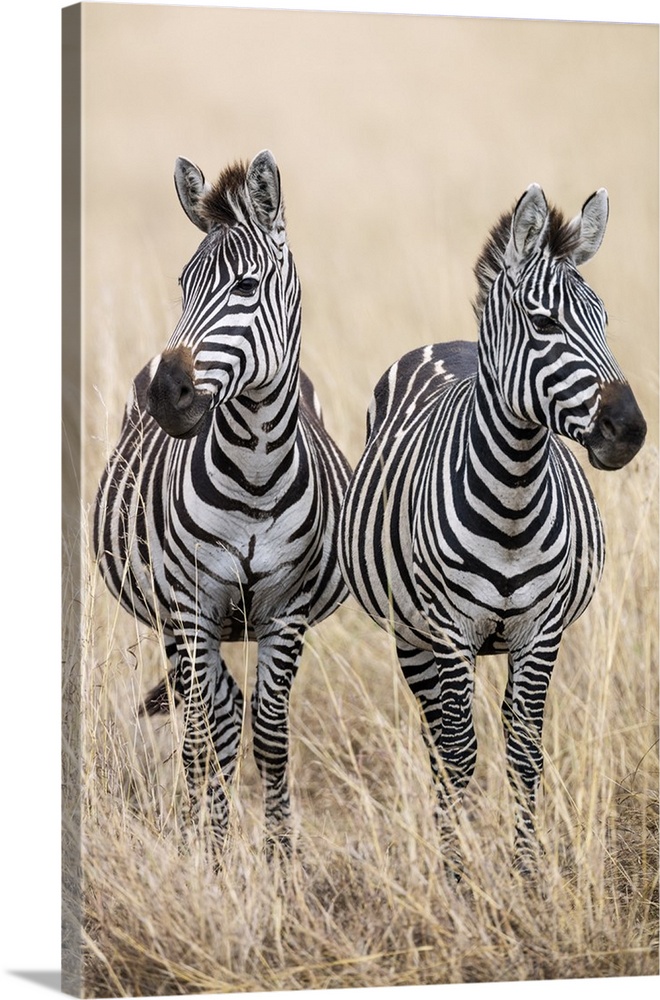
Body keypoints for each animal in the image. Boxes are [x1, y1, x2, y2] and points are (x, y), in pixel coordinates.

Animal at [94, 152, 354, 856]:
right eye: (185, 286)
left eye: (247, 286)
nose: (165, 394)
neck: (255, 475)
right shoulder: (190, 609)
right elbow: (204, 732)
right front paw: (205, 853)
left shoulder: (285, 614)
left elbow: (271, 735)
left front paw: (280, 857)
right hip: (174, 622)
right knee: (203, 719)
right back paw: (200, 835)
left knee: (233, 713)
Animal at [338, 184, 648, 872]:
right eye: (545, 323)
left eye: (604, 320)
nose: (630, 431)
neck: (513, 496)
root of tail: (452, 344)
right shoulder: (451, 631)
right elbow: (458, 757)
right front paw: (458, 879)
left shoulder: (542, 630)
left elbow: (525, 754)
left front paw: (527, 874)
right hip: (412, 636)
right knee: (438, 736)